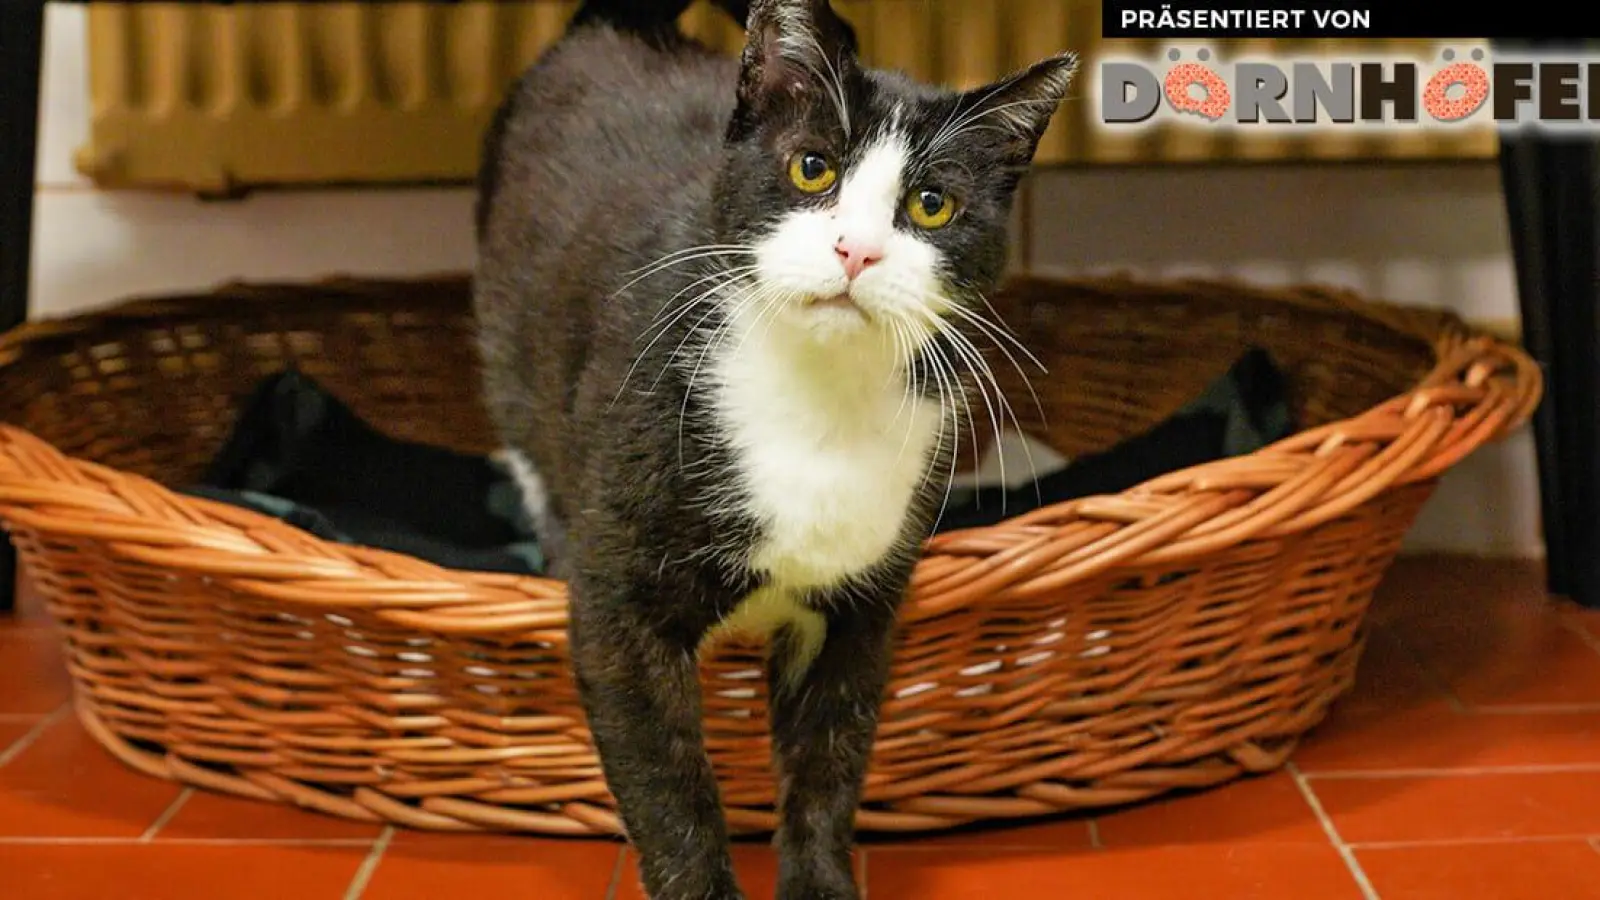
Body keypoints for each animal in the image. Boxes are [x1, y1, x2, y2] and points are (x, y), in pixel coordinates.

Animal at [467, 3, 1075, 890]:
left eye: (932, 205)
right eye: (812, 168)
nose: (856, 250)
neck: (816, 395)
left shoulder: (861, 608)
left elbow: (828, 763)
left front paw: (821, 879)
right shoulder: (620, 611)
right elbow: (668, 782)